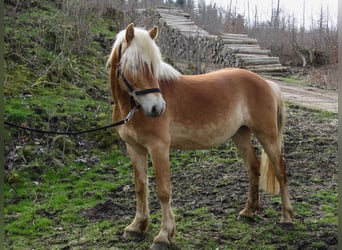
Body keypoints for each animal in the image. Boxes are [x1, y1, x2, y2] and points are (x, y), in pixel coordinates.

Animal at [107, 22, 294, 249]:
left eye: (154, 66)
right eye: (134, 66)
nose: (157, 108)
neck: (133, 108)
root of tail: (266, 83)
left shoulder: (158, 148)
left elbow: (163, 191)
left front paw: (163, 236)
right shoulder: (134, 148)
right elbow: (141, 187)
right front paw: (136, 227)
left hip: (267, 135)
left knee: (280, 168)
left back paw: (286, 218)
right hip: (240, 135)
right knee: (253, 166)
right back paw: (249, 211)